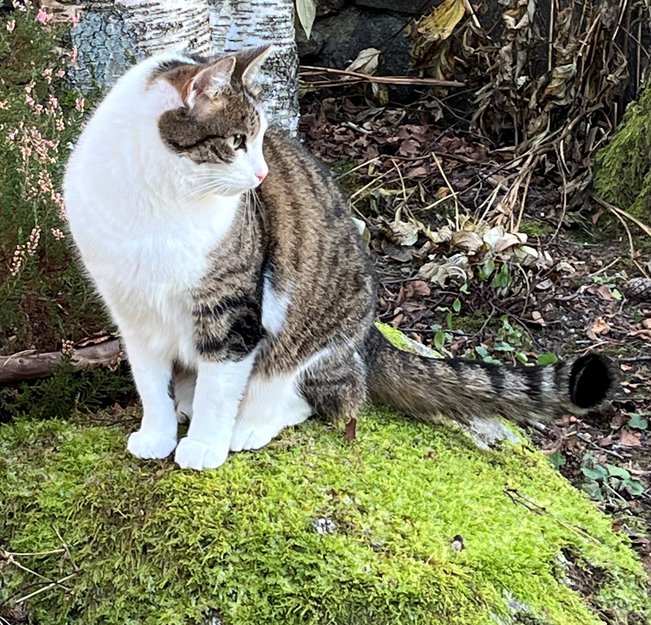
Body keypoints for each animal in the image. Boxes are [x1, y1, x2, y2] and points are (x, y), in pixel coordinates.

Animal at [63, 45, 616, 471]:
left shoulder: (232, 309)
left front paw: (203, 445)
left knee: (330, 396)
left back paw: (250, 424)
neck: (156, 199)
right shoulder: (132, 311)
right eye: (238, 141)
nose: (262, 175)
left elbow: (222, 381)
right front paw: (156, 434)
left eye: (260, 140)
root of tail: (369, 336)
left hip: (311, 341)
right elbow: (149, 382)